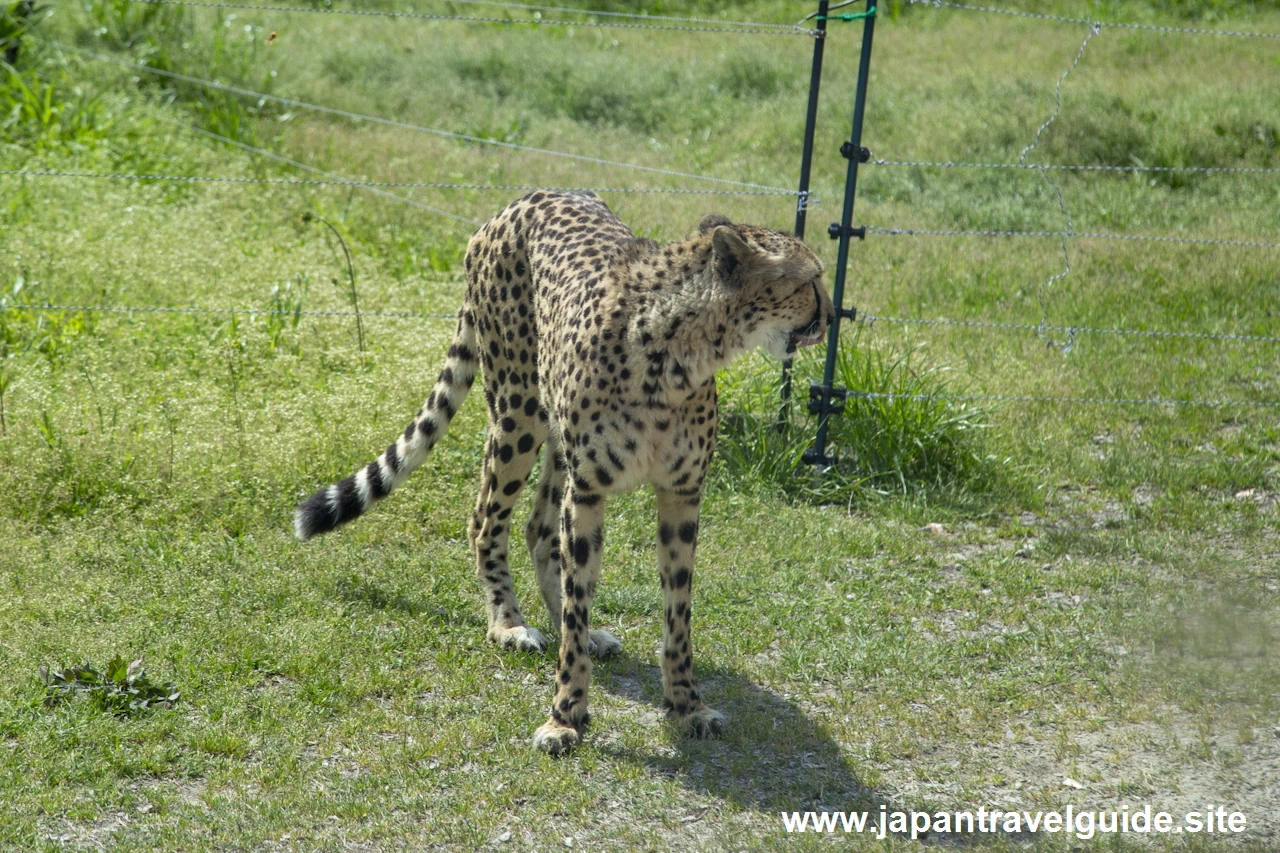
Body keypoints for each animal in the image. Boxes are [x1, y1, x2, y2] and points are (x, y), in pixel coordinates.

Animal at [294, 192, 834, 753]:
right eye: (810, 280)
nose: (835, 316)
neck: (681, 351)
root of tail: (519, 201)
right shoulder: (591, 489)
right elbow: (578, 598)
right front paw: (565, 714)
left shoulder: (681, 492)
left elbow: (676, 610)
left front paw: (686, 704)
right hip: (519, 411)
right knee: (486, 519)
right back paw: (508, 624)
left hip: (555, 438)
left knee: (539, 529)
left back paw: (582, 630)